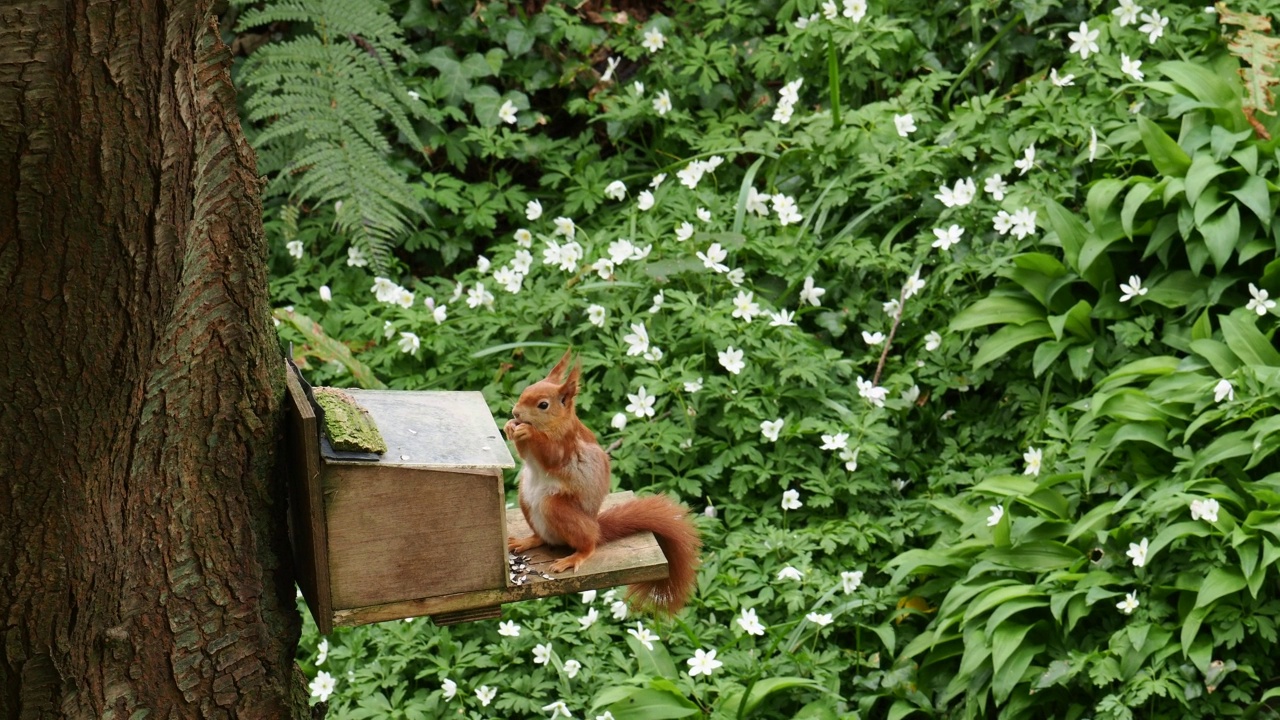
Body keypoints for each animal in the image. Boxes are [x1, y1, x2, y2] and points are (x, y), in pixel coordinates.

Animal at [499, 348, 701, 609]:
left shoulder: (566, 443)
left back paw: (573, 557)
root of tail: (596, 526)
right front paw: (509, 426)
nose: (516, 413)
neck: (556, 423)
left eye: (543, 405)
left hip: (558, 509)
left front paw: (527, 430)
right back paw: (525, 541)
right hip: (526, 499)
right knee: (542, 538)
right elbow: (525, 454)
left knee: (588, 545)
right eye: (525, 391)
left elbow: (551, 455)